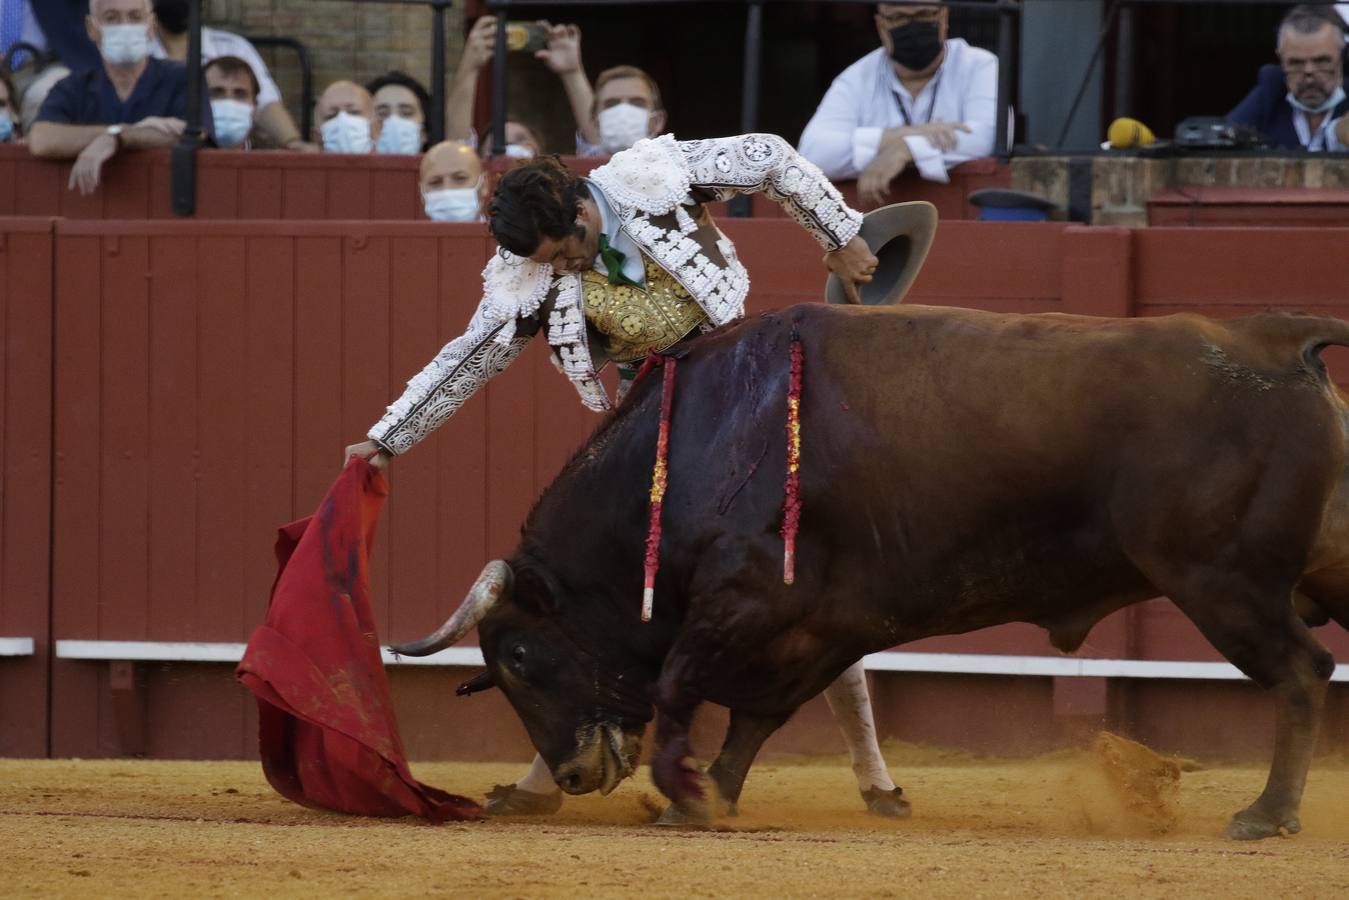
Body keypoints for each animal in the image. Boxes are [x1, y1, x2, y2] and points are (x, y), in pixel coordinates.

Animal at [393, 306, 1349, 841]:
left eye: (519, 658)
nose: (569, 776)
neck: (700, 441)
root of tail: (1279, 342)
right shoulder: (822, 621)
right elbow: (755, 718)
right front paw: (710, 798)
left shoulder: (742, 601)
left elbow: (677, 685)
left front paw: (682, 794)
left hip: (1220, 582)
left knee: (1302, 672)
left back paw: (1265, 815)